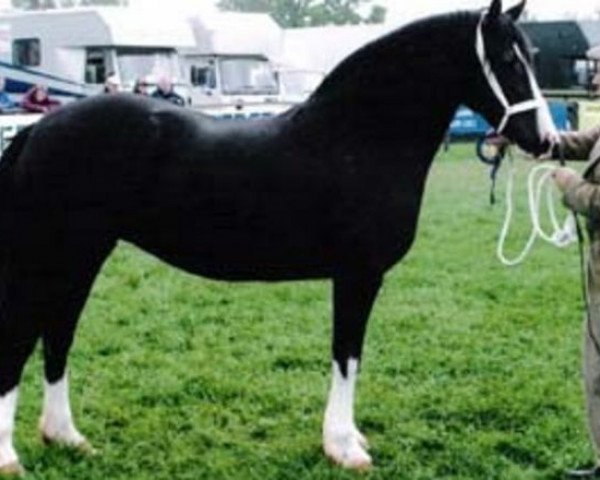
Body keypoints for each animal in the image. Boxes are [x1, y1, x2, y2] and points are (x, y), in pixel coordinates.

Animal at [0, 0, 556, 472]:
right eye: (507, 59)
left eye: (532, 57)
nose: (546, 140)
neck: (357, 139)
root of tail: (36, 130)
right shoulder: (357, 275)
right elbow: (347, 355)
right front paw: (344, 446)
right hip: (56, 254)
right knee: (24, 337)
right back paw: (11, 457)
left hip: (83, 255)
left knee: (58, 336)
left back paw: (66, 437)